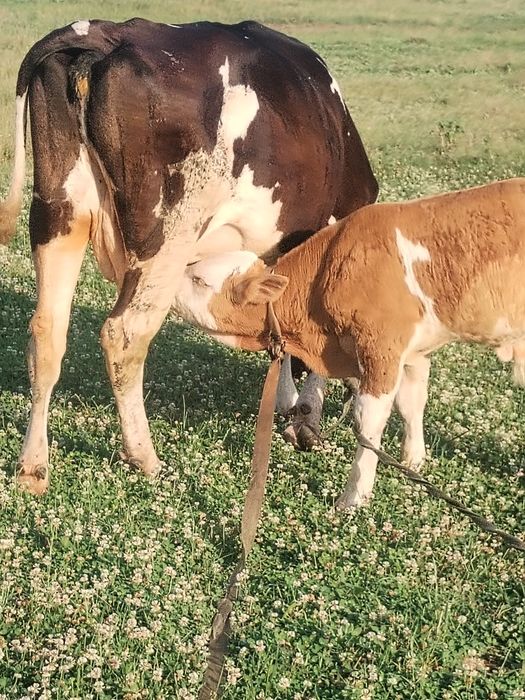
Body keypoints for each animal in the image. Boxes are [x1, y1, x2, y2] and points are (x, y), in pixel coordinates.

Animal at [0, 18, 378, 494]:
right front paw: (305, 416)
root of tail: (101, 34)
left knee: (47, 331)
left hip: (59, 211)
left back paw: (32, 467)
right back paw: (144, 457)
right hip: (168, 234)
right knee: (124, 334)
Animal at [174, 178, 525, 508]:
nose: (167, 286)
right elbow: (411, 403)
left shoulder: (380, 349)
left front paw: (354, 498)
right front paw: (413, 461)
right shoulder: (413, 351)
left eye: (200, 280)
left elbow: (368, 423)